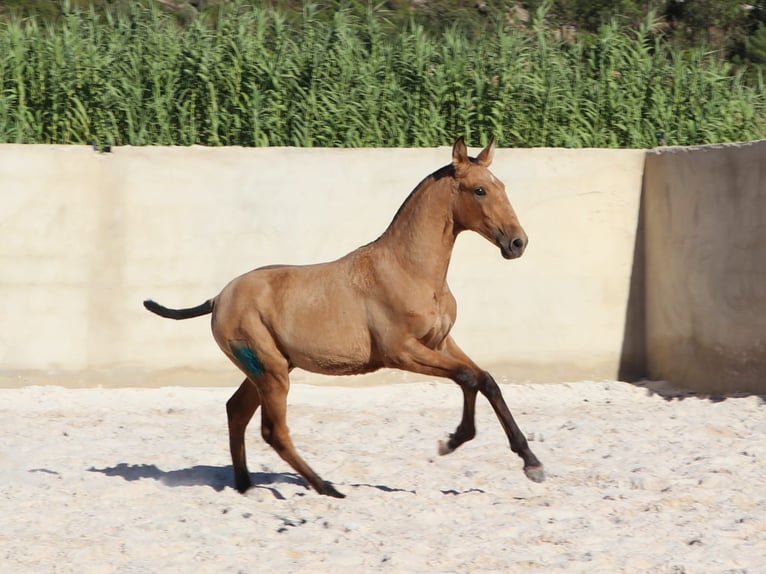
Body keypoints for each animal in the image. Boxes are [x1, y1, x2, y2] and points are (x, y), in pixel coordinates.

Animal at [144, 137, 544, 498]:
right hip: (271, 372)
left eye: (501, 186)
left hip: (270, 369)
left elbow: (486, 380)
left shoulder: (441, 341)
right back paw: (326, 487)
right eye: (480, 190)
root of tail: (218, 298)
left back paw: (246, 486)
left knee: (236, 411)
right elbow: (467, 377)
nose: (518, 243)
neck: (409, 269)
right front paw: (452, 441)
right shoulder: (402, 352)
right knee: (274, 431)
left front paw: (531, 462)